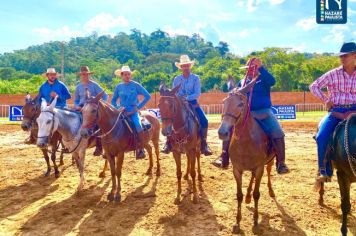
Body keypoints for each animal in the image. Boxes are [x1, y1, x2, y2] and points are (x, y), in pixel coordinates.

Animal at [217, 87, 278, 233]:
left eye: (240, 104)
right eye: (224, 102)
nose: (223, 132)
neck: (246, 141)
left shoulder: (259, 168)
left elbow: (257, 194)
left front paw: (255, 222)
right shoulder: (237, 170)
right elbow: (239, 195)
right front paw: (237, 223)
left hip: (269, 162)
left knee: (268, 172)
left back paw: (270, 191)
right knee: (252, 177)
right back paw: (248, 196)